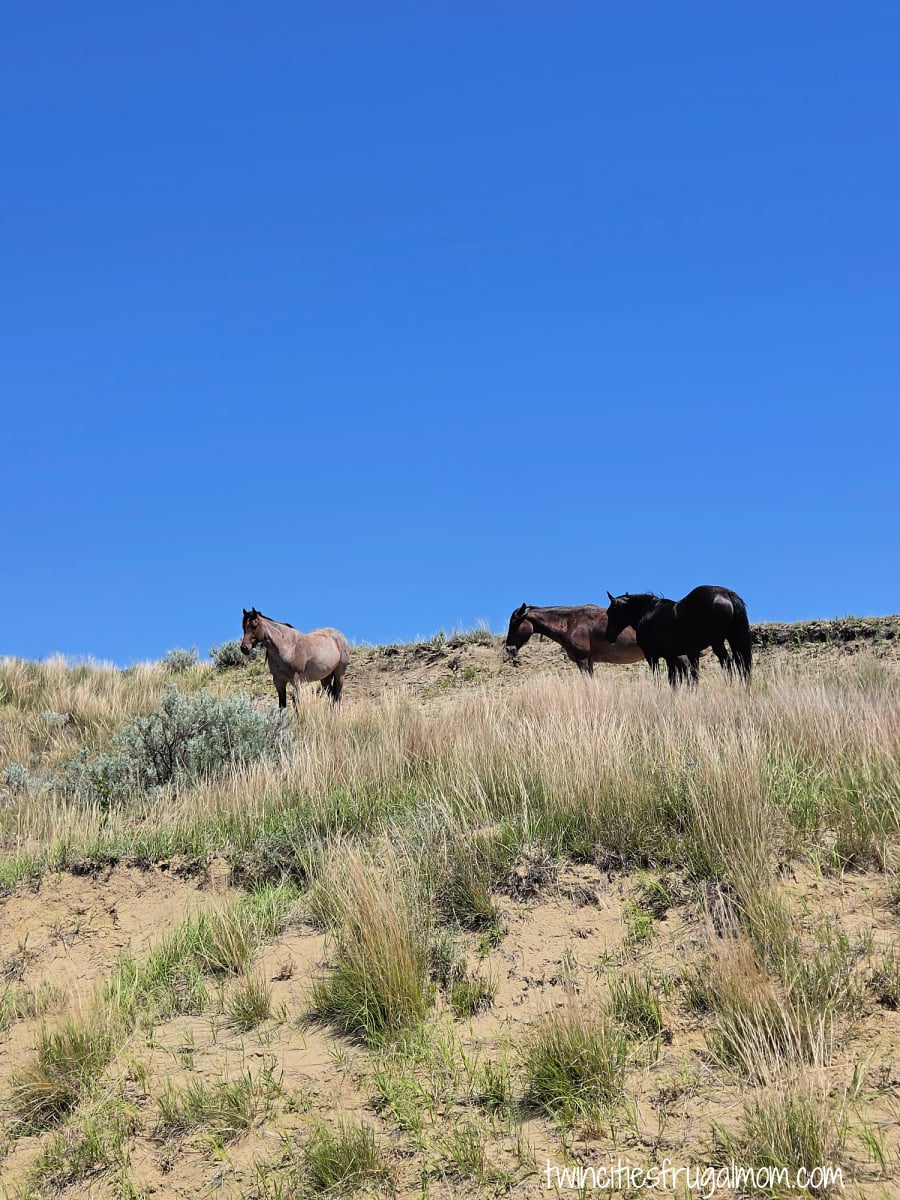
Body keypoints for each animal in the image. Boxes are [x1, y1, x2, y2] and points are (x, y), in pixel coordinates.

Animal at [603, 586, 752, 687]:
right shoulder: (672, 656)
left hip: (718, 643)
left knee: (728, 663)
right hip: (733, 639)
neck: (647, 613)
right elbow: (676, 680)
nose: (608, 636)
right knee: (741, 664)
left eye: (610, 612)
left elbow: (660, 679)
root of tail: (726, 594)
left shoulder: (652, 656)